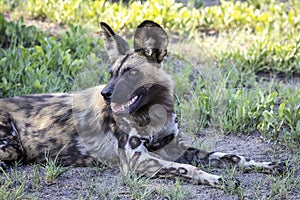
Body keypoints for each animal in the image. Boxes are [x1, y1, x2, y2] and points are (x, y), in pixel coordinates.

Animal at [0, 20, 286, 188]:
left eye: (131, 73)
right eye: (111, 73)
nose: (106, 93)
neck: (154, 115)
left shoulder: (173, 147)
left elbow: (229, 155)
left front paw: (263, 166)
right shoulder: (136, 160)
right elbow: (186, 168)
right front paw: (213, 178)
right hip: (13, 148)